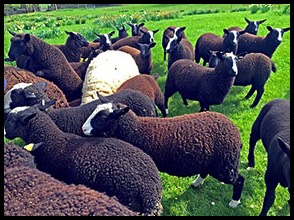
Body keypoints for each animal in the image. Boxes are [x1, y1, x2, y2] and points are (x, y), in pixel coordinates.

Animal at [81, 96, 245, 208]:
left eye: (103, 118)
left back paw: (234, 202)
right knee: (205, 171)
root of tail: (234, 129)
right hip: (212, 160)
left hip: (224, 163)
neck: (136, 130)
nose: (83, 129)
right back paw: (197, 183)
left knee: (239, 179)